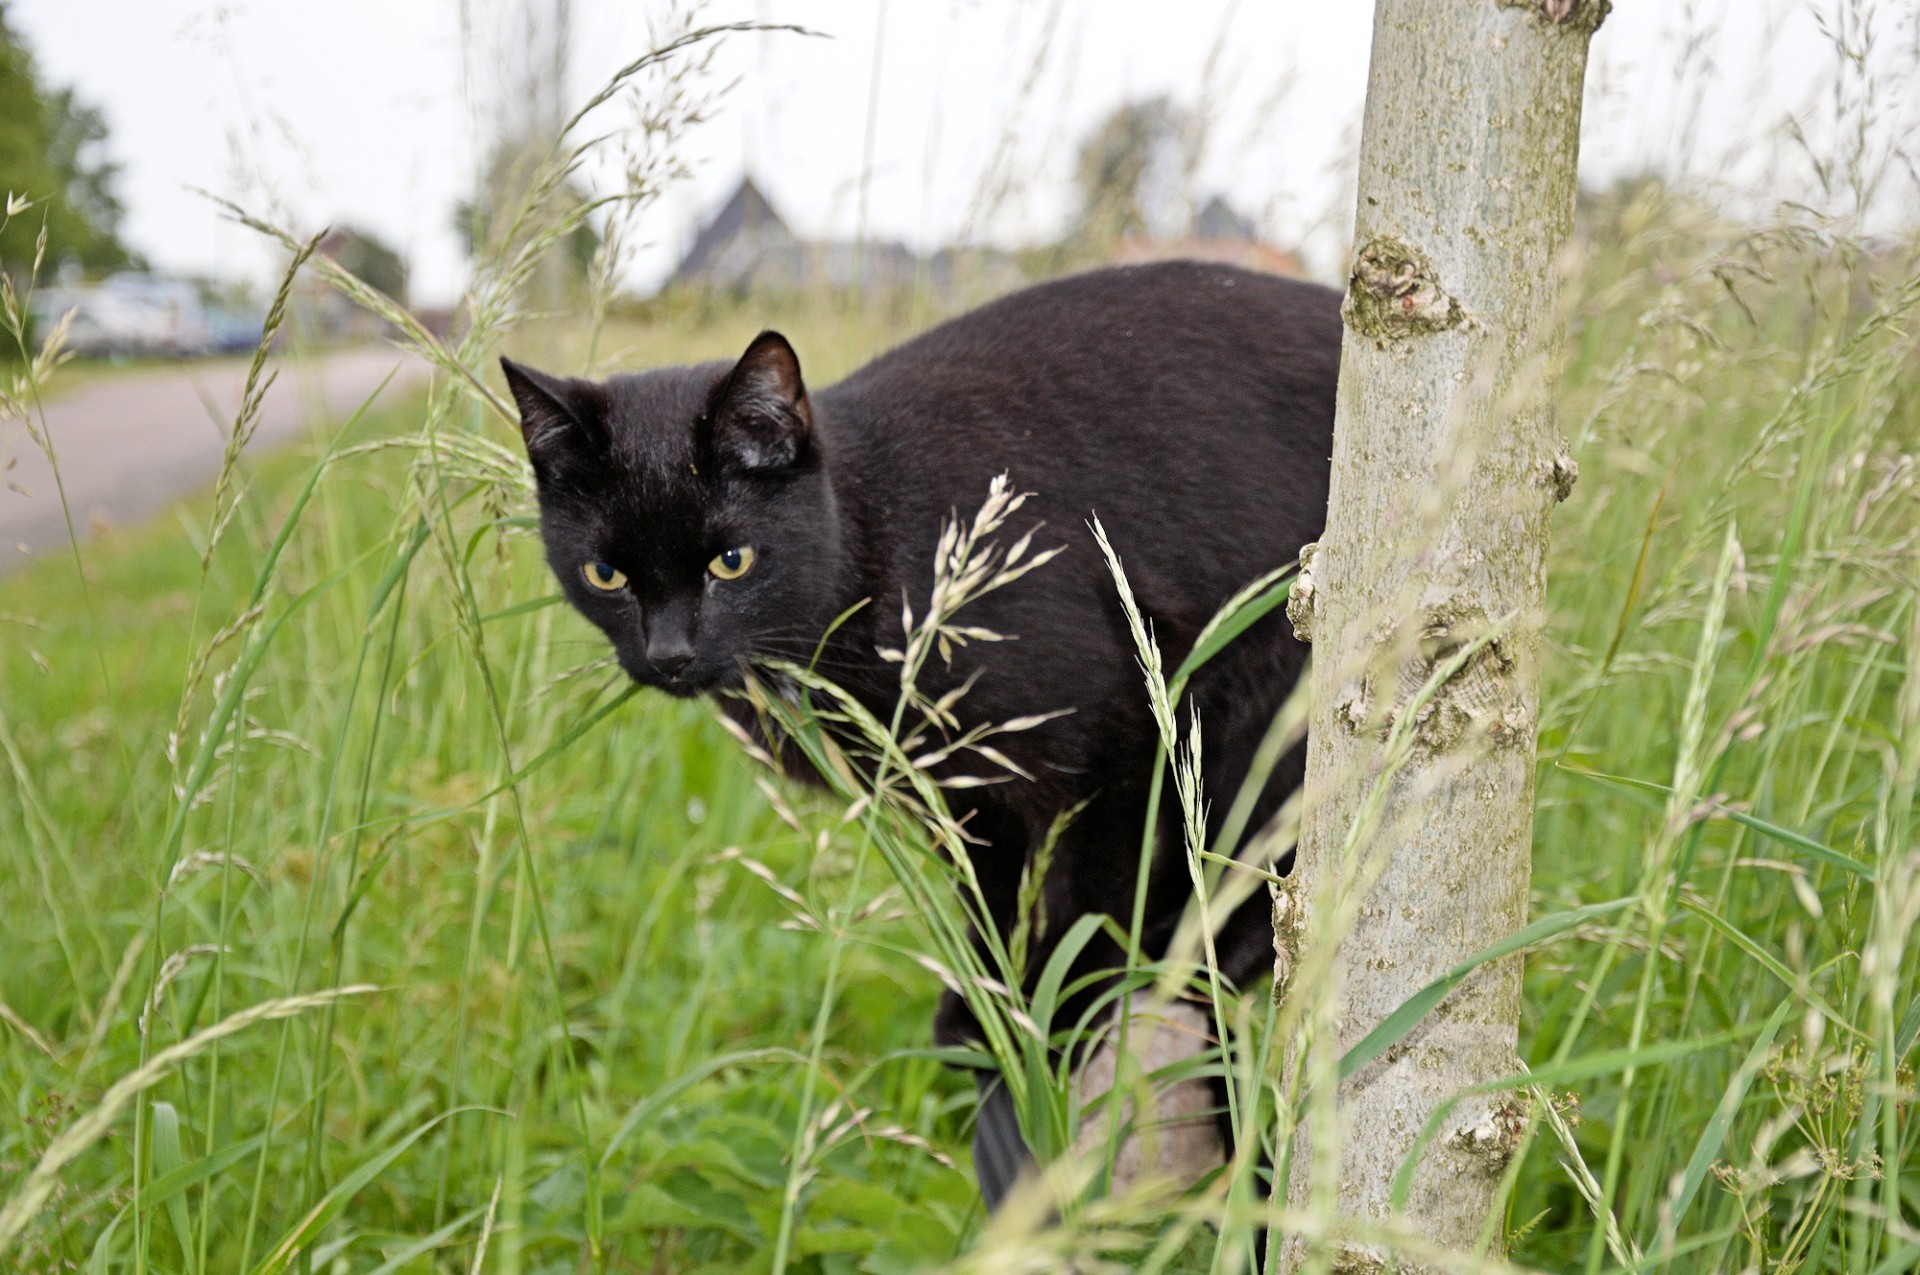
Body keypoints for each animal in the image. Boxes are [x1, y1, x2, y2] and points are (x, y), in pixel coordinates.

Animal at [503, 261, 1344, 1205]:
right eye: (606, 574)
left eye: (732, 562)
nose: (670, 653)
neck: (882, 546)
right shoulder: (969, 798)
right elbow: (996, 901)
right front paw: (989, 1015)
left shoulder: (1118, 743)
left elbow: (1090, 901)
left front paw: (1053, 1022)